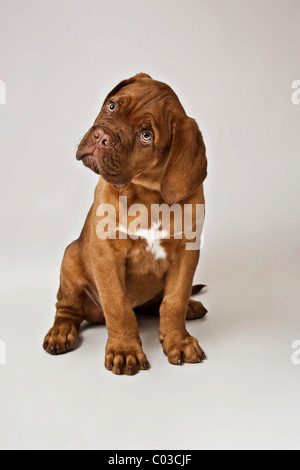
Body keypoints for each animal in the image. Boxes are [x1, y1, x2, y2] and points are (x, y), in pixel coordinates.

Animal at [43, 73, 209, 374]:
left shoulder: (187, 252)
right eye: (112, 106)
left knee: (157, 304)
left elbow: (174, 300)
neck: (146, 195)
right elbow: (118, 306)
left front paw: (178, 341)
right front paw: (125, 350)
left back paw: (190, 308)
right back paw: (60, 333)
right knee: (67, 310)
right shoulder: (106, 254)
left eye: (146, 136)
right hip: (70, 259)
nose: (101, 136)